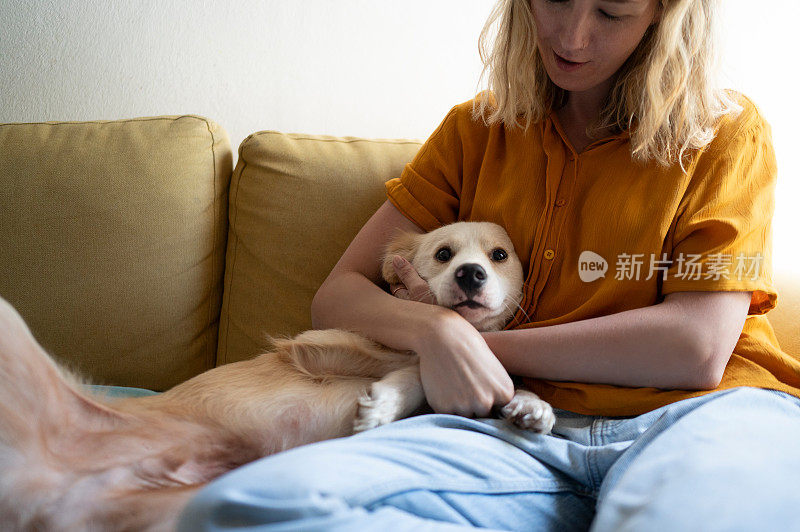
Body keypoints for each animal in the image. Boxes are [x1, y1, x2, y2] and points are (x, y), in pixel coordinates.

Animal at [0, 221, 552, 532]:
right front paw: (381, 405)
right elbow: (420, 363)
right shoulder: (321, 346)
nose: (471, 274)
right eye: (443, 254)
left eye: (498, 256)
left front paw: (531, 405)